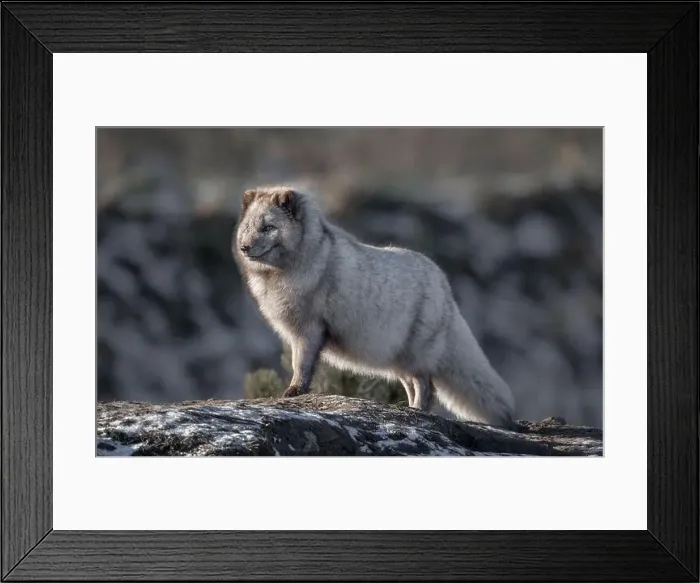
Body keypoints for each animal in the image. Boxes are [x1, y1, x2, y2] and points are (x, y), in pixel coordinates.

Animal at [233, 185, 517, 430]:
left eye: (268, 227)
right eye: (247, 227)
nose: (244, 247)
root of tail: (444, 285)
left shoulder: (309, 330)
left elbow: (301, 366)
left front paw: (294, 392)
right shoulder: (297, 333)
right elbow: (298, 365)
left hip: (415, 356)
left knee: (427, 385)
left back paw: (417, 411)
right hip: (398, 361)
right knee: (413, 384)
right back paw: (408, 409)